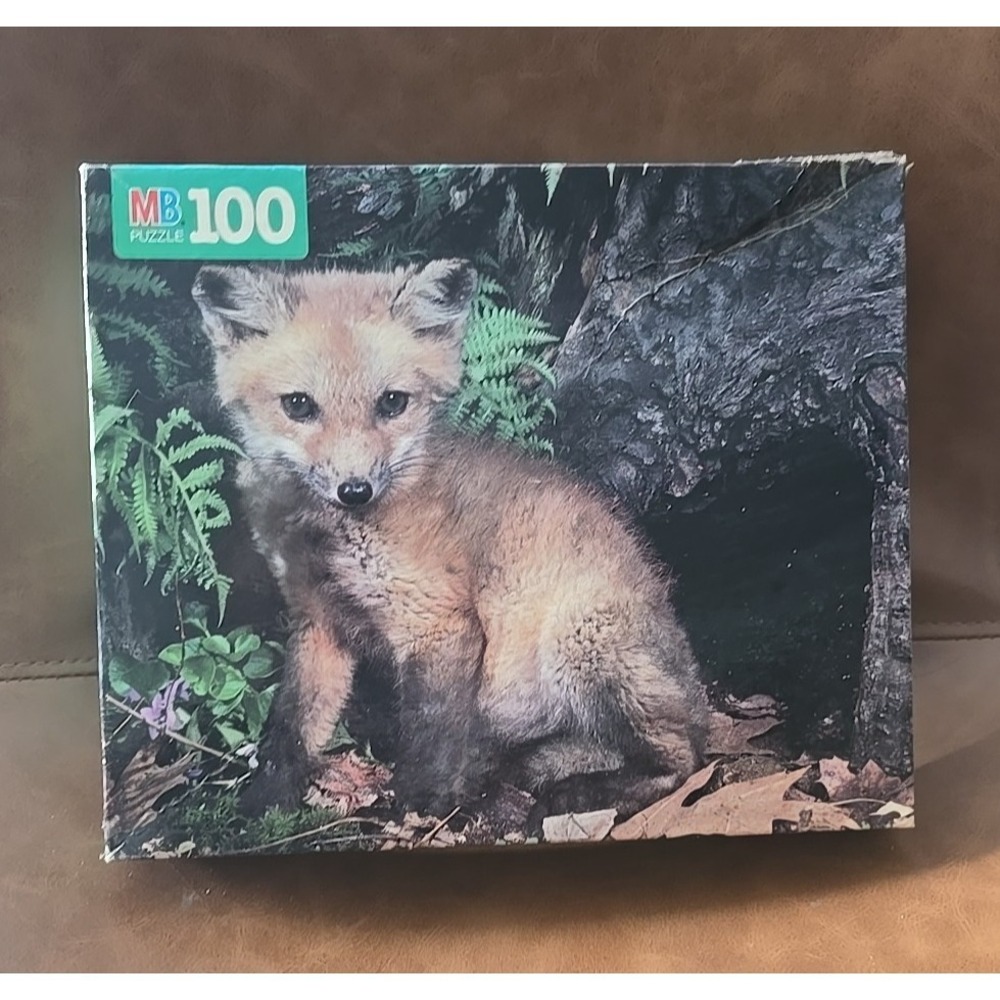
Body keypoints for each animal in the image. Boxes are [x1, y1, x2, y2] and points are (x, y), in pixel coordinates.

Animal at [192, 258, 709, 828]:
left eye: (392, 402)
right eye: (299, 406)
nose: (355, 489)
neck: (325, 534)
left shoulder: (437, 619)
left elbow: (430, 728)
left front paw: (423, 805)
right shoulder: (316, 619)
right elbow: (292, 724)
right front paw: (266, 799)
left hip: (581, 638)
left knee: (682, 760)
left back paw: (583, 793)